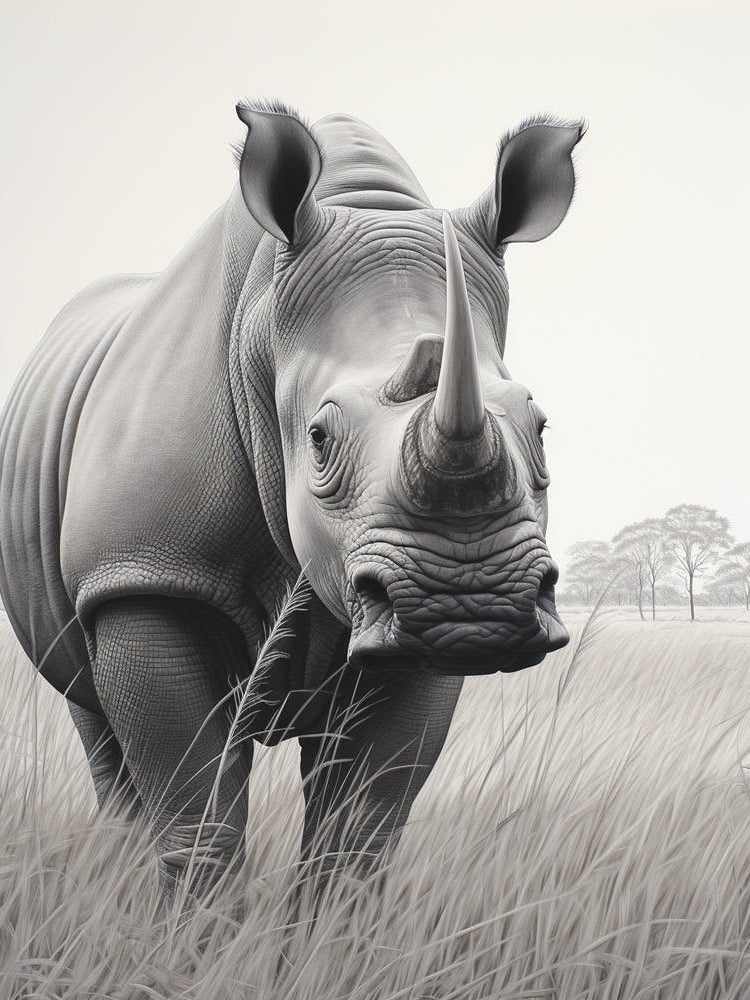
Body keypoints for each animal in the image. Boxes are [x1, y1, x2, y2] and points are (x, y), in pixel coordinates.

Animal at [0, 101, 583, 897]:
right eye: (318, 438)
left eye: (541, 428)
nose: (471, 606)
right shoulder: (142, 573)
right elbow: (199, 823)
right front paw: (195, 933)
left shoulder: (407, 637)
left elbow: (359, 834)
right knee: (93, 719)